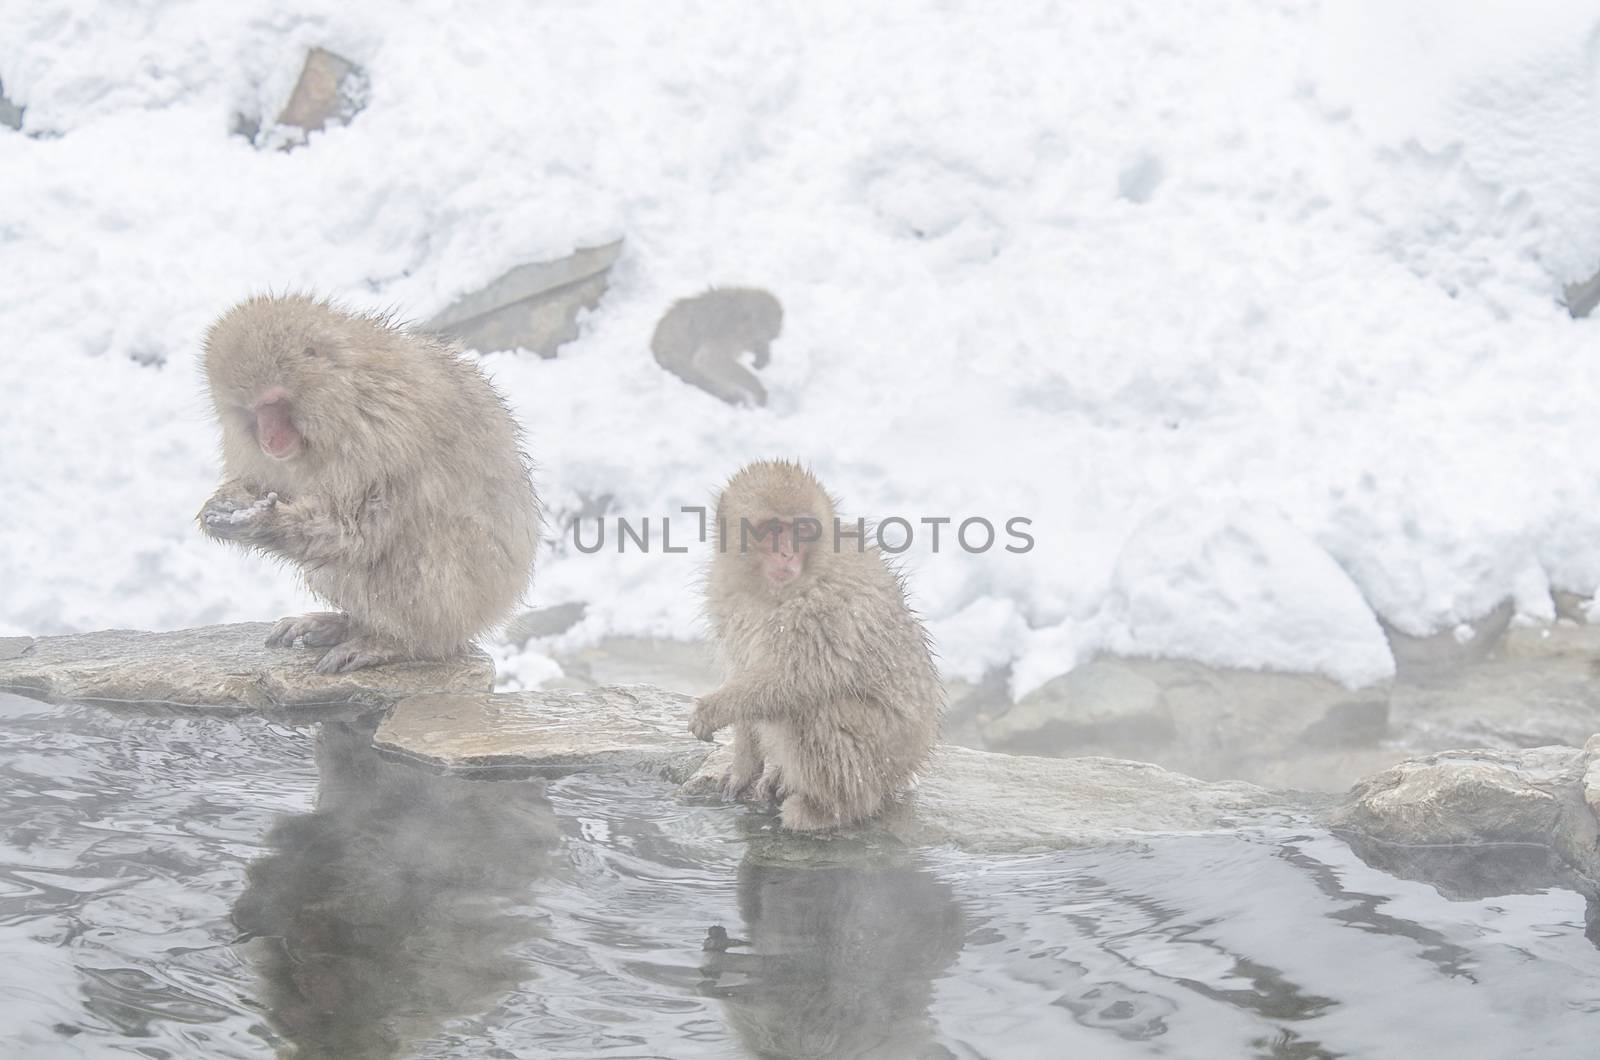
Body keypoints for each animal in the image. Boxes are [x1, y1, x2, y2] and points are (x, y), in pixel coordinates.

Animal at [195, 293, 537, 672]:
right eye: (249, 411)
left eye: (274, 404)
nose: (268, 440)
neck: (344, 395)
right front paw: (227, 501)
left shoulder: (380, 433)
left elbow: (357, 532)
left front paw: (263, 522)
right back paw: (346, 624)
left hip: (465, 597)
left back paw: (399, 643)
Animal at [691, 461, 940, 832]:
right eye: (773, 529)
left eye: (803, 529)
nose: (787, 553)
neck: (770, 593)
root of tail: (914, 757)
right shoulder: (725, 598)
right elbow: (743, 669)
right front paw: (744, 766)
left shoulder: (826, 606)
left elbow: (797, 677)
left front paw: (713, 709)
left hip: (881, 753)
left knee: (814, 711)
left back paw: (830, 809)